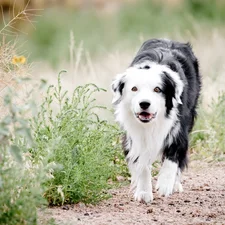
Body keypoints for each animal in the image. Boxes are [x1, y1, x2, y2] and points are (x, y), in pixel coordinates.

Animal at [111, 38, 201, 202]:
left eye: (157, 89)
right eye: (134, 89)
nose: (144, 104)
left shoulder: (178, 127)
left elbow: (173, 156)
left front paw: (165, 184)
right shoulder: (133, 134)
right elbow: (142, 162)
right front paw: (144, 192)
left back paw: (175, 184)